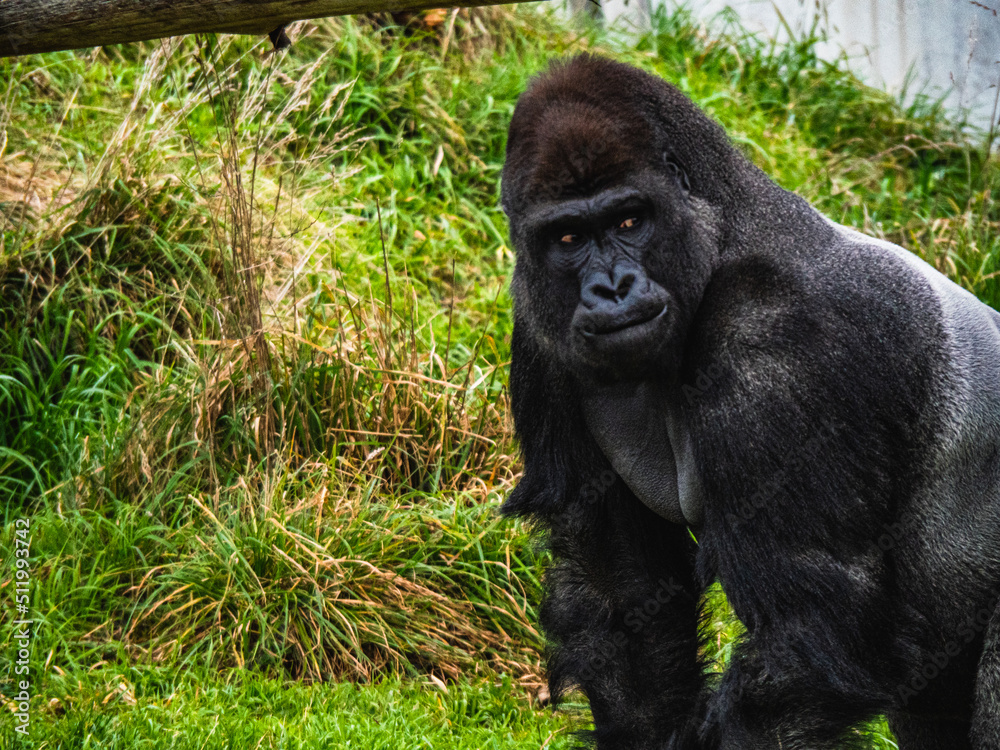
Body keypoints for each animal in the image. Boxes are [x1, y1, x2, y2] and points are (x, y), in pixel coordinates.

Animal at [499, 54, 1000, 750]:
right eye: (568, 238)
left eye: (630, 221)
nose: (613, 288)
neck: (719, 232)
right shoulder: (539, 328)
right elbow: (620, 586)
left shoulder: (779, 337)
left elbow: (809, 632)